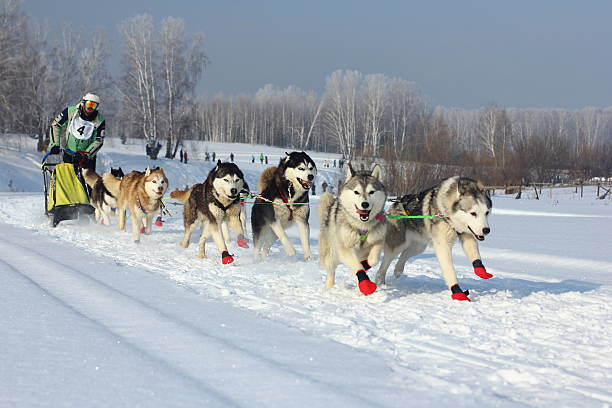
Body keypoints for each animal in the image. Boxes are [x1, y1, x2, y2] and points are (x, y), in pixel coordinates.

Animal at [318, 164, 384, 294]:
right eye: (356, 192)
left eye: (372, 192)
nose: (365, 204)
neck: (361, 226)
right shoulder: (345, 248)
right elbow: (357, 266)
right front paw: (365, 284)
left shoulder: (378, 240)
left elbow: (373, 259)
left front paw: (365, 265)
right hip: (331, 252)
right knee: (331, 271)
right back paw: (329, 288)